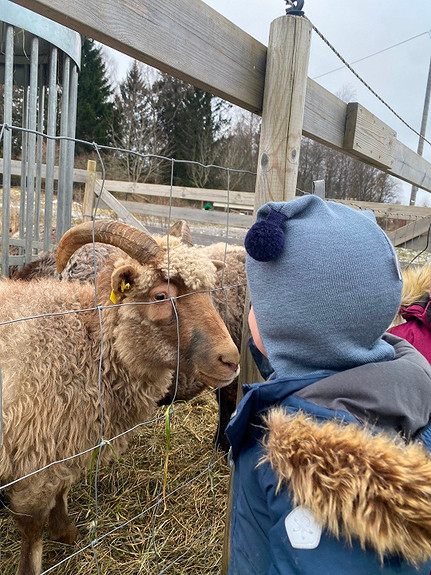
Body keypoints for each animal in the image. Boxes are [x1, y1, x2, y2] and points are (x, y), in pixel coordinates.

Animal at [0, 220, 240, 575]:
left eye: (210, 292)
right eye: (160, 295)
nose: (231, 360)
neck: (84, 340)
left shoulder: (64, 443)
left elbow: (62, 490)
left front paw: (65, 531)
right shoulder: (36, 452)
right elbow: (32, 524)